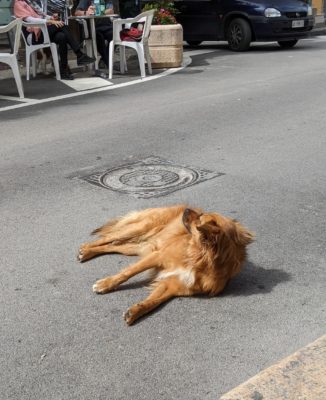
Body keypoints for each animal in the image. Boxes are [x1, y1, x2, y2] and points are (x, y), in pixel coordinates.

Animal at [77, 205, 253, 324]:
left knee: (114, 246)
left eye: (200, 218)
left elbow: (154, 302)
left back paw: (87, 252)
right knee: (107, 238)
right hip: (138, 230)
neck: (197, 259)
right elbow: (127, 273)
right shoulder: (158, 256)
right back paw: (85, 248)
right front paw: (105, 284)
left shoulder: (174, 284)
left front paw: (136, 311)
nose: (187, 209)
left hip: (140, 246)